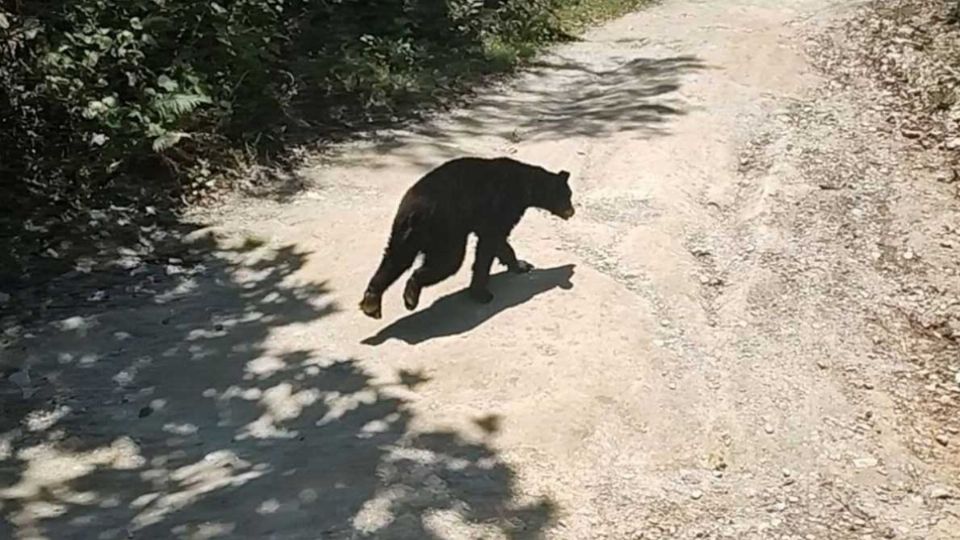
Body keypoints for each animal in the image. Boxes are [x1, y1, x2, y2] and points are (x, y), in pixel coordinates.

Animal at [358, 156, 568, 318]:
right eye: (568, 195)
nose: (572, 211)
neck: (526, 186)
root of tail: (415, 213)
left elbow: (499, 242)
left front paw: (521, 265)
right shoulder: (502, 206)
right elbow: (490, 243)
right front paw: (480, 292)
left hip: (404, 232)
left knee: (395, 259)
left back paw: (372, 301)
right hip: (446, 231)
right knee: (448, 262)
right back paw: (411, 292)